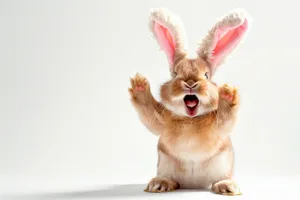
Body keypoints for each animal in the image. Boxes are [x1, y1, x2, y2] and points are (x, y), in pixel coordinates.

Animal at [128, 7, 251, 195]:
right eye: (175, 74)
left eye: (206, 75)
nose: (191, 83)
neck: (190, 119)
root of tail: (193, 185)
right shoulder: (160, 120)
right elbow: (148, 113)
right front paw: (139, 84)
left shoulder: (220, 126)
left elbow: (226, 117)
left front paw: (228, 93)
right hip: (166, 166)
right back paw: (159, 184)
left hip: (222, 166)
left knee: (221, 179)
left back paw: (227, 187)